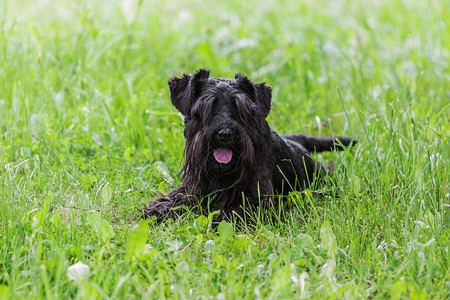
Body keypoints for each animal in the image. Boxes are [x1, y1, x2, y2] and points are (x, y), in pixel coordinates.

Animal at [144, 69, 356, 220]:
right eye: (206, 107)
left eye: (241, 108)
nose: (225, 133)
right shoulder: (194, 186)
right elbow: (177, 197)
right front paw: (159, 209)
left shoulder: (259, 200)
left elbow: (236, 210)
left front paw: (219, 218)